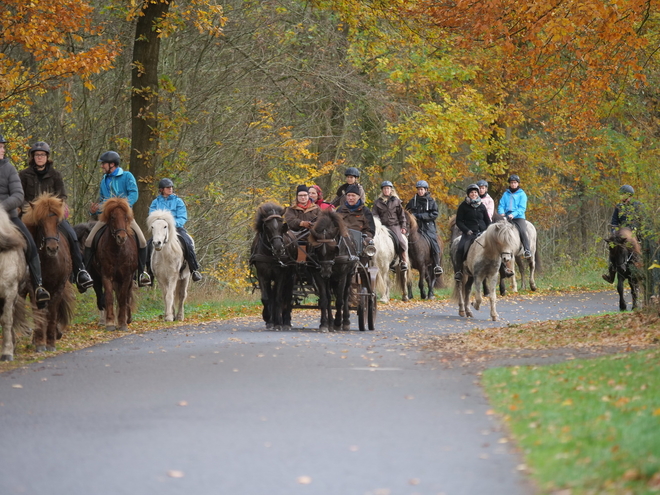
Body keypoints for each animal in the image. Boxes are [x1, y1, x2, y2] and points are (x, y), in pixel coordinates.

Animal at [23, 194, 75, 352]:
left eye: (57, 222)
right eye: (40, 223)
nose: (52, 248)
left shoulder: (58, 288)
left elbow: (52, 315)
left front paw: (51, 343)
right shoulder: (35, 289)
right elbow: (38, 314)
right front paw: (40, 343)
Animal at [91, 199, 137, 334]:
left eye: (126, 217)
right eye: (112, 217)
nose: (121, 237)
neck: (117, 251)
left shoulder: (127, 277)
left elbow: (122, 298)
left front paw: (122, 323)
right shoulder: (106, 276)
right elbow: (109, 298)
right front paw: (110, 323)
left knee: (127, 296)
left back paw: (128, 318)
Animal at [250, 200, 296, 332]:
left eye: (282, 226)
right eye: (267, 226)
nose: (279, 248)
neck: (269, 253)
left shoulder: (280, 275)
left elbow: (278, 298)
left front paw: (278, 323)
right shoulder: (262, 275)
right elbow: (266, 298)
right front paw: (268, 319)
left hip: (291, 276)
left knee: (287, 297)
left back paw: (286, 322)